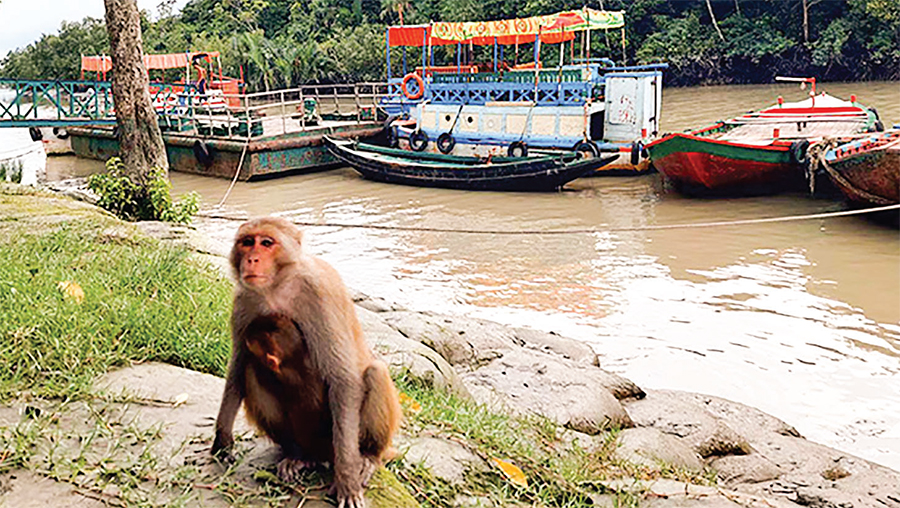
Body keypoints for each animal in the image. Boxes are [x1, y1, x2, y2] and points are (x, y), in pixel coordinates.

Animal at [212, 215, 400, 508]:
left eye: (266, 243)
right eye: (247, 242)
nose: (252, 259)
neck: (277, 287)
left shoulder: (320, 294)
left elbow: (343, 379)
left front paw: (347, 478)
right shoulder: (244, 300)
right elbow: (239, 366)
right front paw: (222, 438)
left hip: (334, 438)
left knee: (375, 372)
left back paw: (368, 457)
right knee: (252, 371)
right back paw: (299, 456)